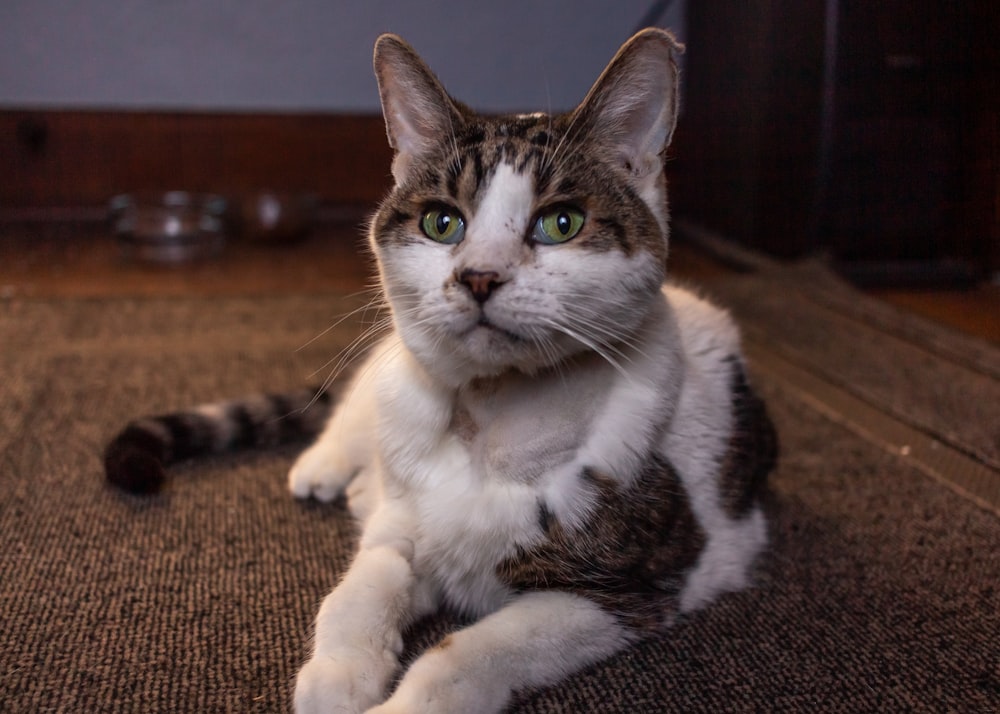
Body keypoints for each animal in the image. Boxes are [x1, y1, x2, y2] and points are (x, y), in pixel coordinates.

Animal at [101, 27, 776, 712]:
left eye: (562, 223)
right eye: (441, 222)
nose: (478, 276)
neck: (488, 414)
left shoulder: (630, 589)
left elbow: (468, 653)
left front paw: (405, 699)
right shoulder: (402, 532)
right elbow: (362, 588)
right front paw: (336, 675)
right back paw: (329, 469)